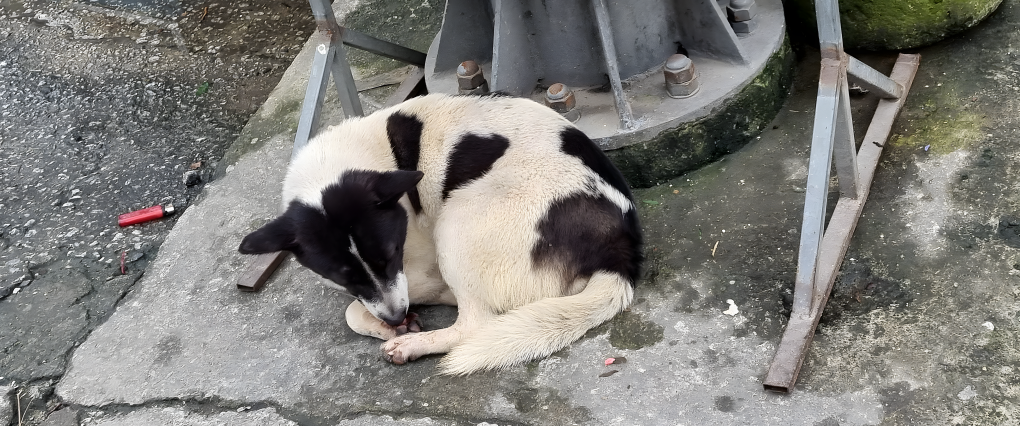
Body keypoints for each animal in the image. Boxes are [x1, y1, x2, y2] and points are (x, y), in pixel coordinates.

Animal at [239, 93, 642, 375]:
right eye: (342, 273)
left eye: (391, 254)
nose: (395, 318)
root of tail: (620, 254)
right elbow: (356, 303)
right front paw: (388, 326)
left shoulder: (414, 270)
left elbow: (353, 309)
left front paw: (394, 330)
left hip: (458, 221)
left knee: (476, 323)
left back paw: (415, 343)